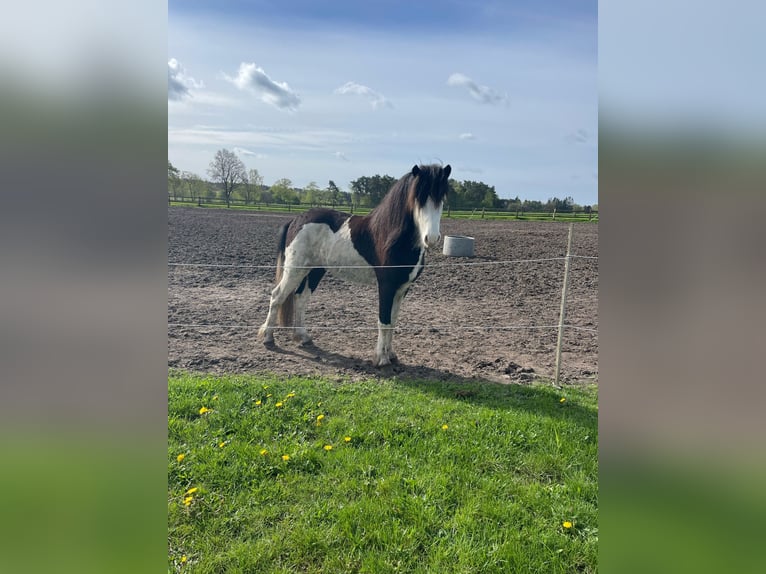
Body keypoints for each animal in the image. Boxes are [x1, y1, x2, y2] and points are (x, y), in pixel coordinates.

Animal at [260, 164, 450, 366]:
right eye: (418, 198)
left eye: (441, 197)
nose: (431, 238)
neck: (391, 236)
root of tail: (297, 220)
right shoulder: (386, 286)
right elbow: (384, 321)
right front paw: (381, 359)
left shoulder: (402, 288)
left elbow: (393, 321)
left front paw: (391, 355)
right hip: (295, 270)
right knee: (277, 296)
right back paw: (268, 338)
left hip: (314, 270)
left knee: (300, 298)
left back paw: (303, 337)